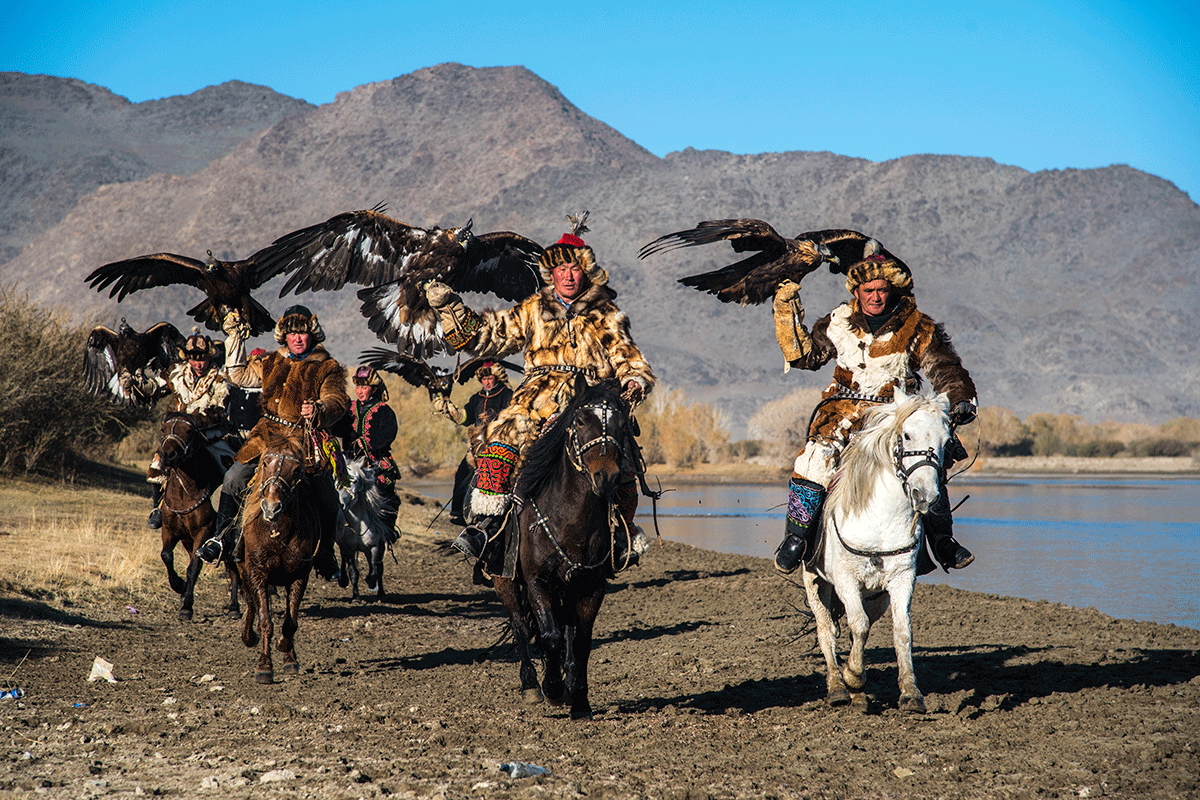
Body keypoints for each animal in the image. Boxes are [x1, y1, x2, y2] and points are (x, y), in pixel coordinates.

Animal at [153, 417, 240, 623]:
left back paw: (234, 607)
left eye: (189, 431)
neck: (185, 494)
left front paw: (186, 607)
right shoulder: (170, 531)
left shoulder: (203, 532)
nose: (168, 455)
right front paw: (180, 586)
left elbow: (193, 567)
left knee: (234, 571)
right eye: (164, 429)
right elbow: (166, 556)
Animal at [236, 434, 321, 686]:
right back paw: (249, 636)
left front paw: (287, 653)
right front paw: (264, 666)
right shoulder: (258, 573)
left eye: (297, 469)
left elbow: (290, 623)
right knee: (251, 604)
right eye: (265, 463)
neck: (277, 530)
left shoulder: (299, 575)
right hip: (244, 571)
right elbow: (265, 619)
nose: (271, 507)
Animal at [336, 455, 400, 599]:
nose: (341, 505)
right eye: (336, 481)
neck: (358, 525)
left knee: (378, 567)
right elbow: (353, 572)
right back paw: (343, 580)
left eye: (354, 481)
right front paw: (355, 597)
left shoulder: (375, 546)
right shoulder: (349, 548)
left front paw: (371, 583)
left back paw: (380, 592)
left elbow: (375, 568)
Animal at [489, 379, 638, 724]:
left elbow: (579, 640)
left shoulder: (592, 587)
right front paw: (553, 690)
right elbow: (550, 635)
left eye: (623, 424)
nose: (606, 477)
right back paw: (532, 686)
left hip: (567, 589)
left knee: (563, 627)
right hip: (505, 582)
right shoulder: (537, 582)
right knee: (521, 626)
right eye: (580, 421)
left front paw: (579, 699)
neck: (569, 520)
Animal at [801, 388, 950, 714]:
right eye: (906, 435)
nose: (926, 495)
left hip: (875, 596)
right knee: (826, 630)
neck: (881, 521)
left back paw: (857, 695)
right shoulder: (845, 580)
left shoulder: (902, 579)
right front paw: (853, 677)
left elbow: (902, 631)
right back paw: (838, 688)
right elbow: (858, 626)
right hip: (816, 583)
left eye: (947, 441)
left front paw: (910, 693)